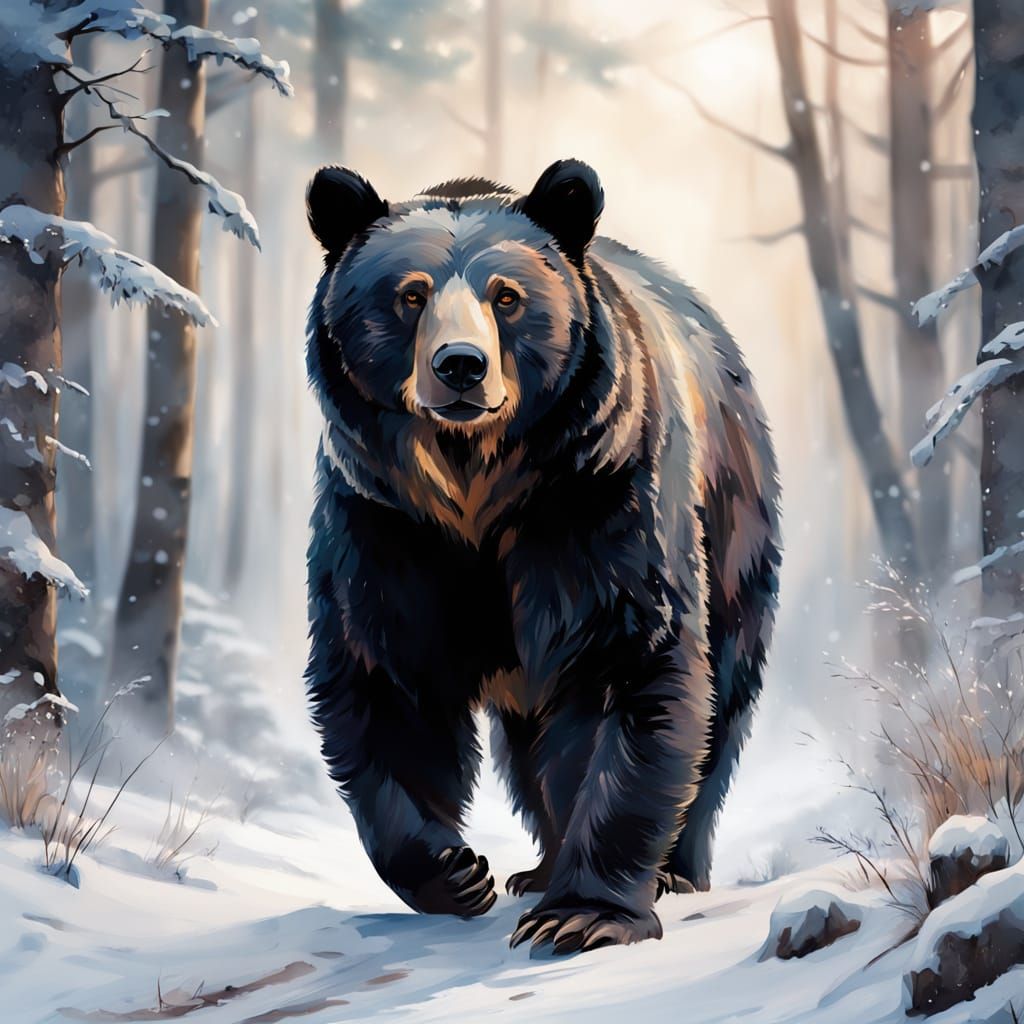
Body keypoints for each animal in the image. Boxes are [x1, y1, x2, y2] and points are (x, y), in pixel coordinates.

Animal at [304, 159, 781, 954]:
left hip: (735, 517)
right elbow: (383, 678)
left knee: (722, 693)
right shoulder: (382, 521)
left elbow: (637, 663)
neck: (476, 486)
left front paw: (586, 914)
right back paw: (539, 868)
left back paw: (672, 870)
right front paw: (454, 871)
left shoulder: (599, 498)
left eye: (506, 296)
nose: (460, 367)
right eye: (410, 294)